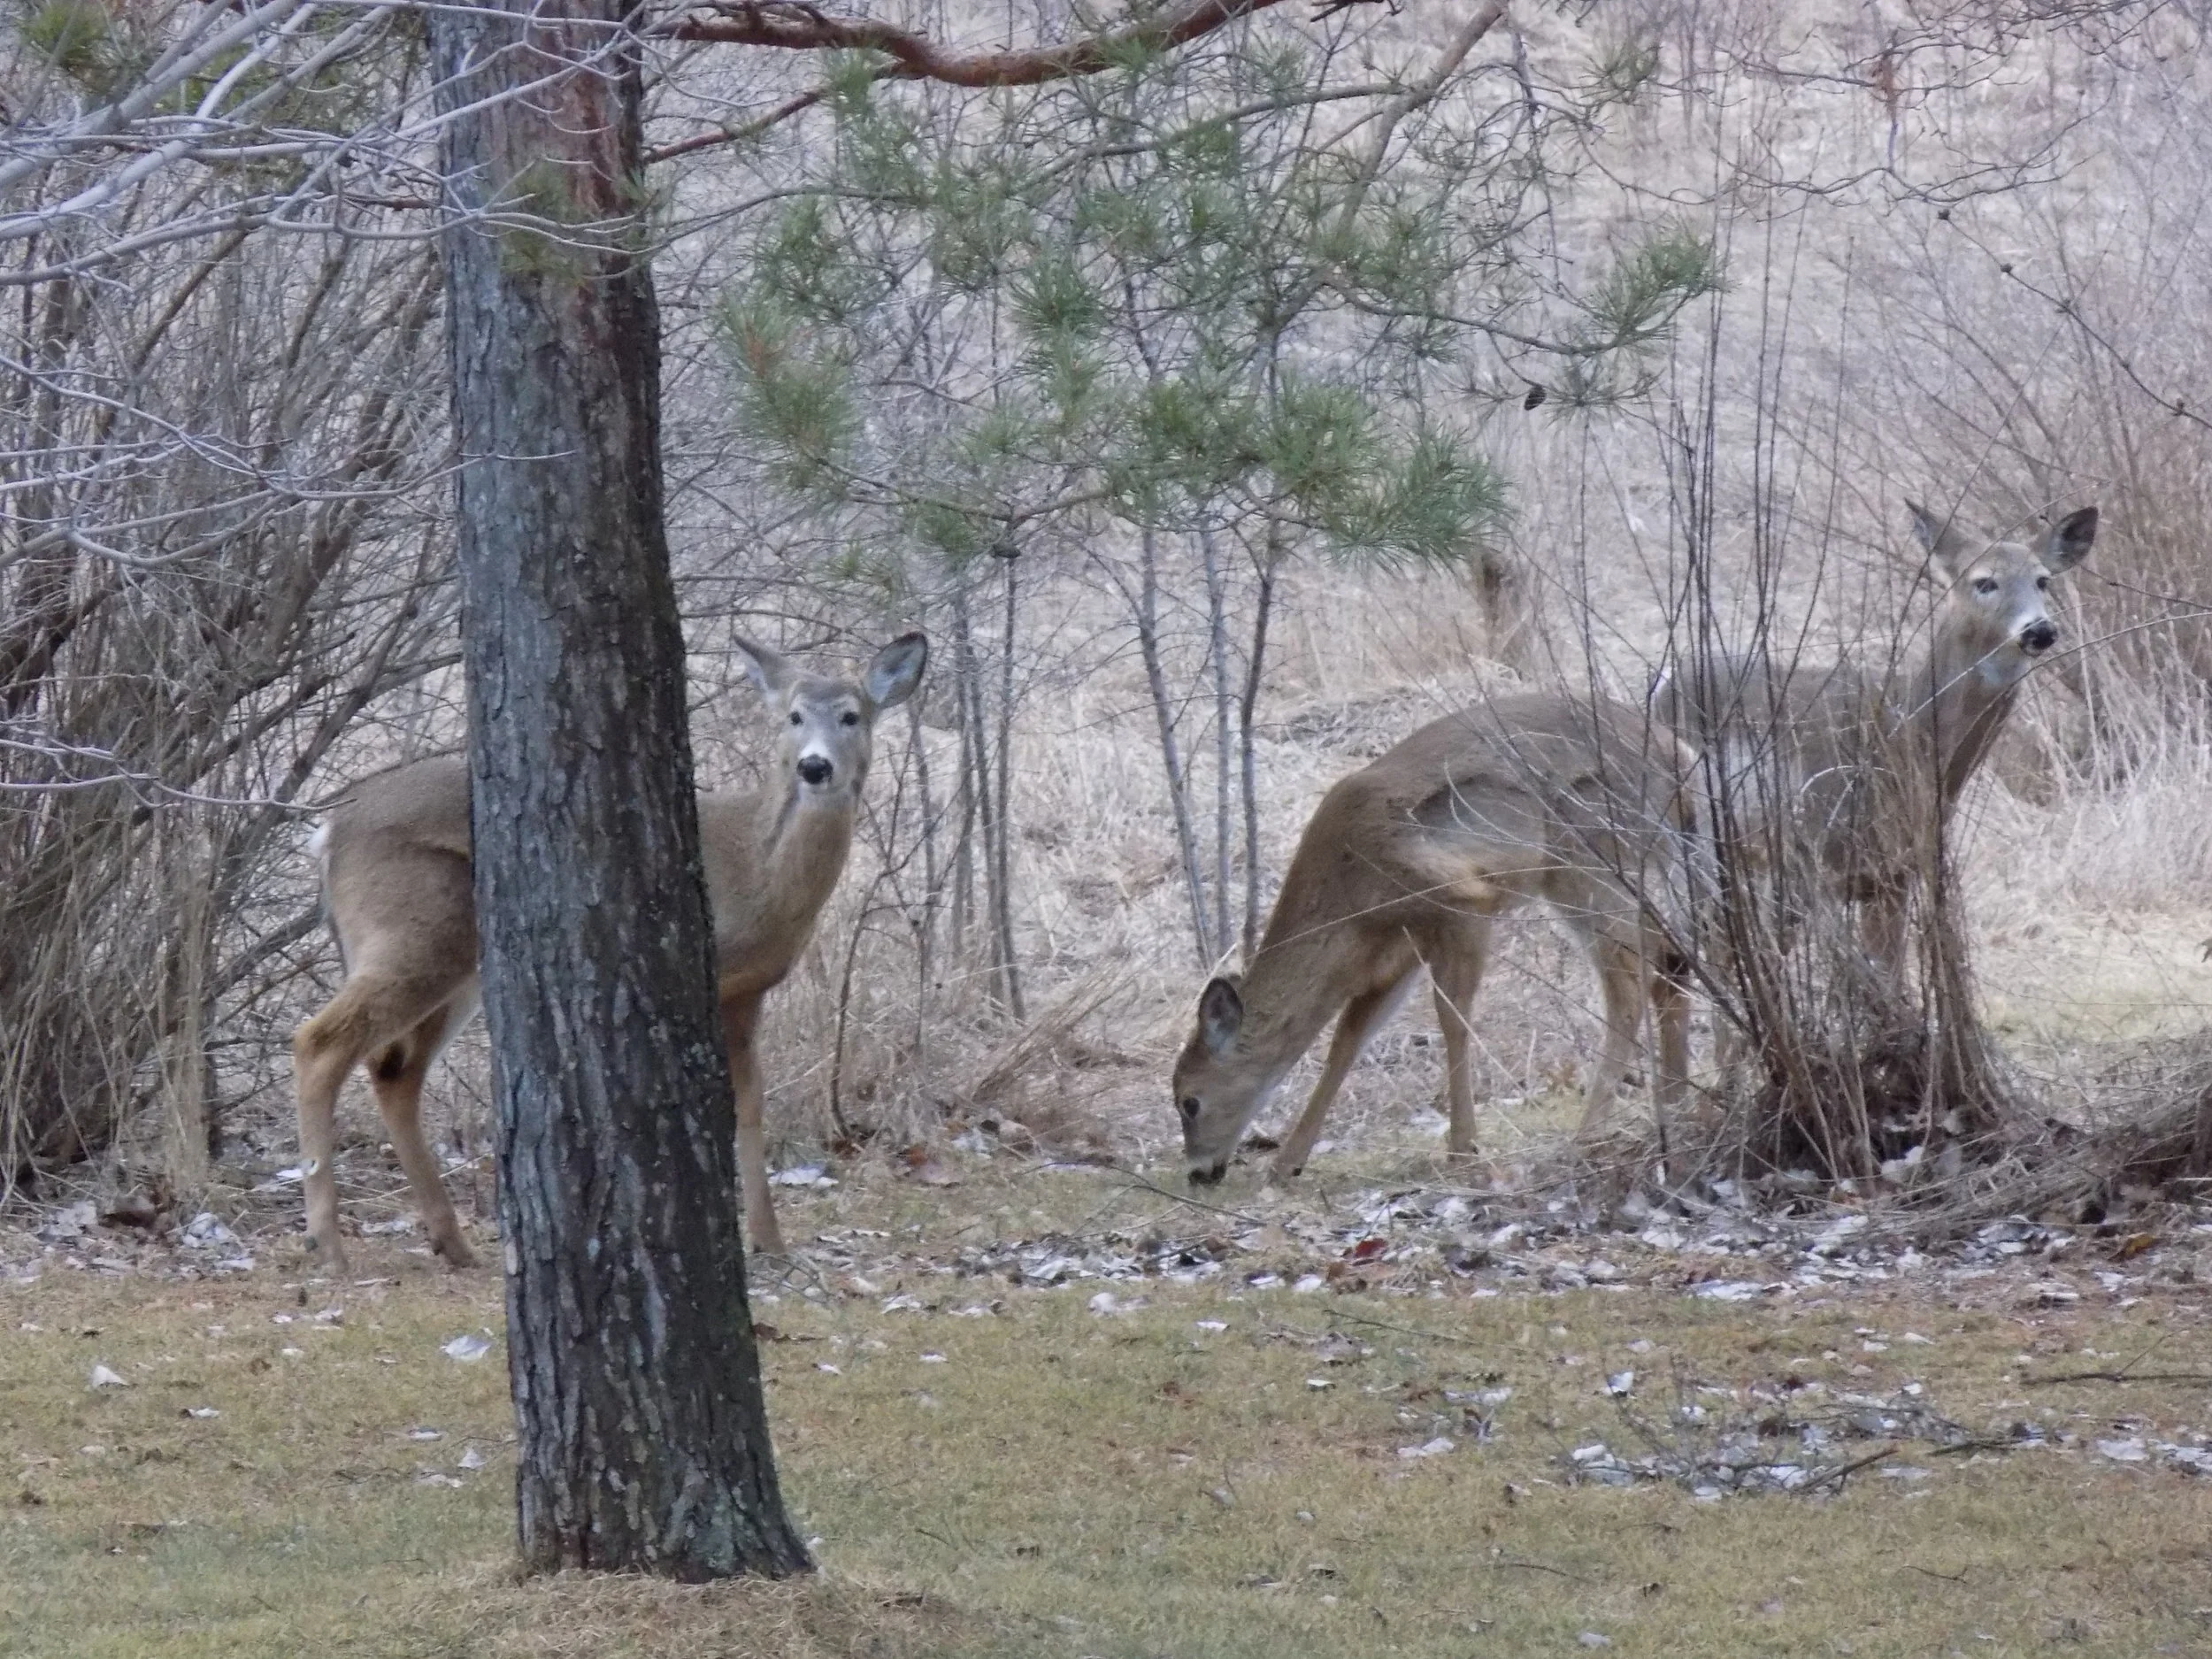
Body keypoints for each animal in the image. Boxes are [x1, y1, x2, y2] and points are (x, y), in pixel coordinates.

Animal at [290, 630, 927, 1272]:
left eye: (851, 716)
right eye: (794, 716)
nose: (814, 765)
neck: (759, 872)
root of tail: (328, 832)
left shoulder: (747, 988)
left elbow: (750, 1105)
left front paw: (766, 1238)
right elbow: (731, 1104)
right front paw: (753, 1234)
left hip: (454, 963)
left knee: (395, 1071)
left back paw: (453, 1243)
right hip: (413, 933)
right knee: (321, 1041)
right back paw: (328, 1243)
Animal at [1172, 693, 1699, 1186]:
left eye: (1189, 1102)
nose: (1199, 1173)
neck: (1349, 894)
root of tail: (1680, 755)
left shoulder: (1460, 902)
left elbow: (1452, 1020)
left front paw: (1463, 1147)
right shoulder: (1399, 949)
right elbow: (1348, 1039)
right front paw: (1287, 1164)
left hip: (1589, 861)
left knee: (1630, 982)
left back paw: (1590, 1132)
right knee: (1671, 956)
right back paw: (1675, 1098)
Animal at [1651, 502, 2096, 979]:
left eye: (2043, 580)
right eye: (1984, 581)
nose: (2040, 631)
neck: (1906, 739)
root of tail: (1662, 684)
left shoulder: (1895, 873)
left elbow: (1891, 977)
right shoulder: (1816, 862)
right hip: (1692, 838)